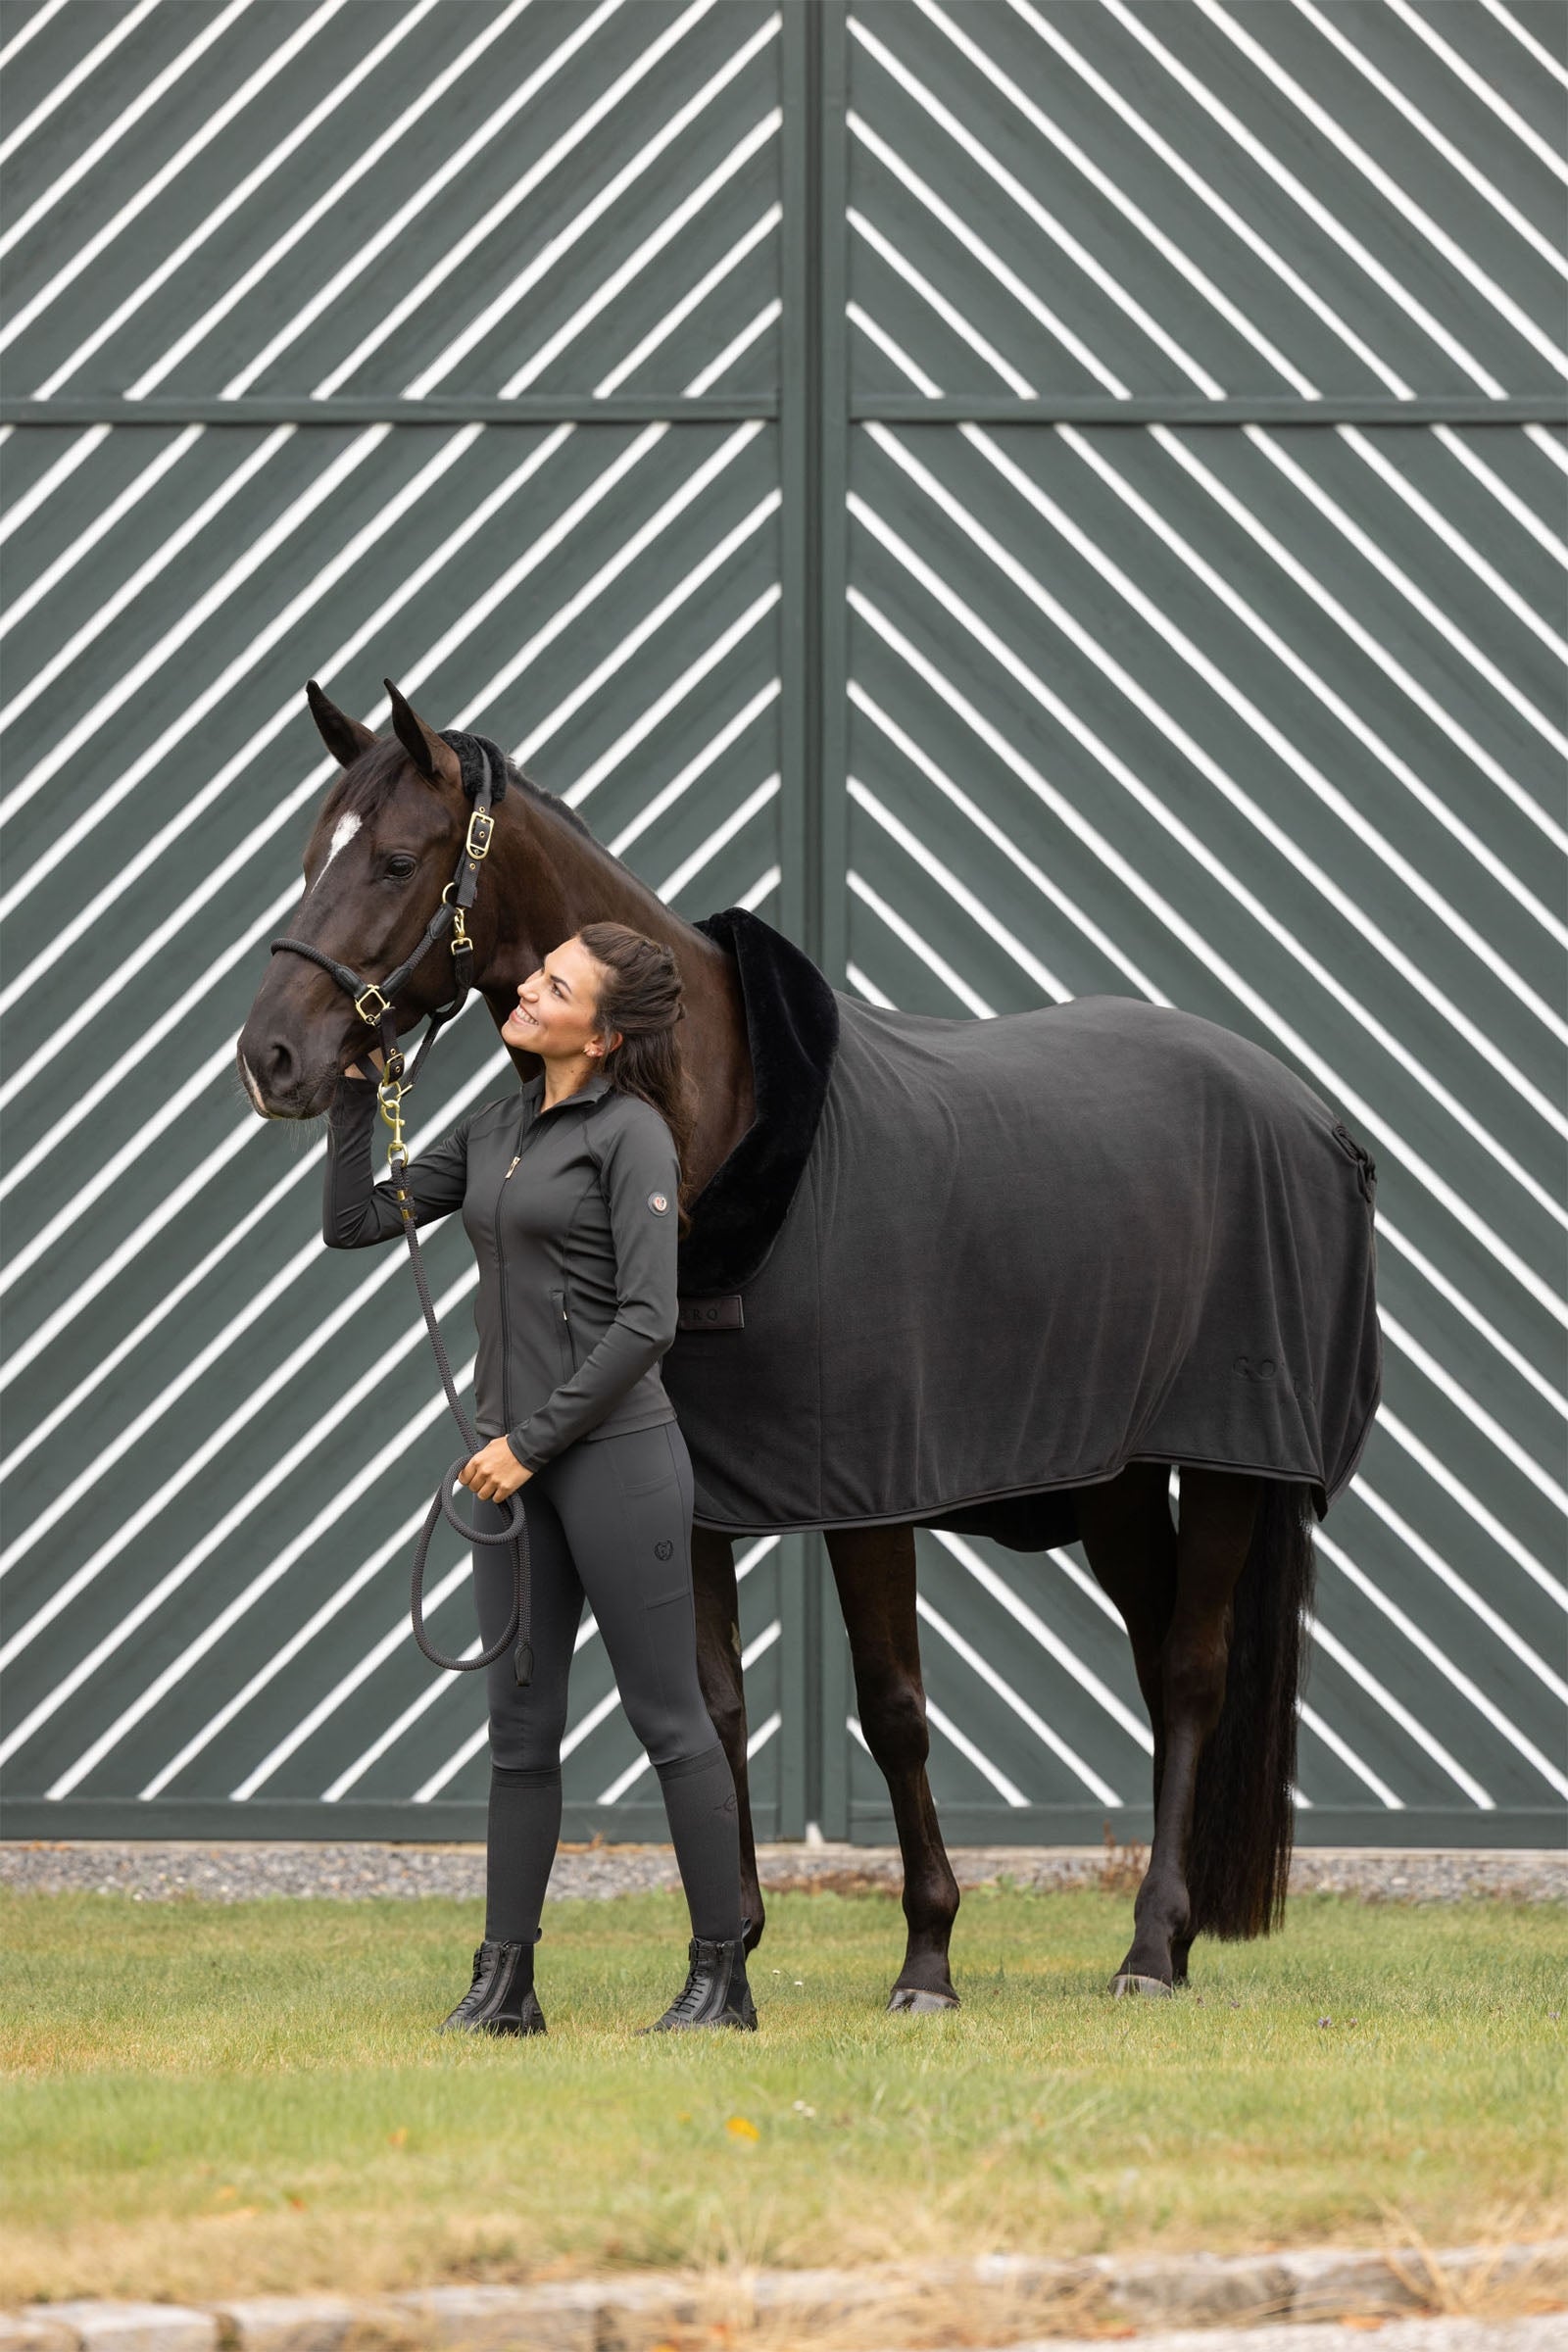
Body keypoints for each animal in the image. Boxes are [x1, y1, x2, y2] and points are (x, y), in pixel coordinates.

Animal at [239, 678, 1374, 2008]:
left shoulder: (869, 1491)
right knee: (1155, 1661)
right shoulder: (694, 1496)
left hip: (1236, 1459)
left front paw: (927, 1957)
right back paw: (1177, 1937)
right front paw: (732, 1944)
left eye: (396, 860)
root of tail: (1306, 1113)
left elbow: (892, 1707)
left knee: (1193, 1673)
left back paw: (1148, 1950)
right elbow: (712, 1704)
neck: (716, 1115)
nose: (273, 1058)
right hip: (1118, 1478)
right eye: (307, 857)